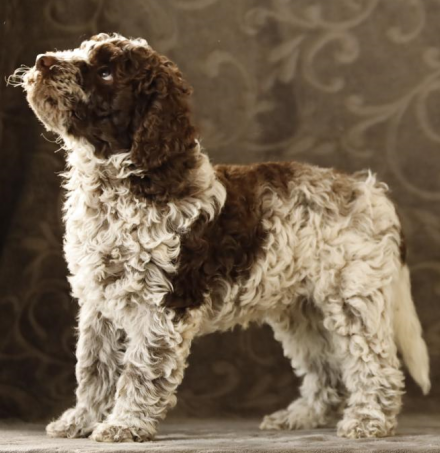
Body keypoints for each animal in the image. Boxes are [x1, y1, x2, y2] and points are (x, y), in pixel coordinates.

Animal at [12, 33, 430, 442]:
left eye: (105, 72)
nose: (43, 61)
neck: (127, 183)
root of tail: (370, 190)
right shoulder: (99, 300)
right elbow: (93, 367)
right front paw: (80, 420)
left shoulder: (163, 303)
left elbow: (141, 368)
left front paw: (125, 424)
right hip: (302, 308)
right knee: (326, 370)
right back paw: (300, 416)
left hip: (353, 296)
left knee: (376, 363)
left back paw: (369, 420)